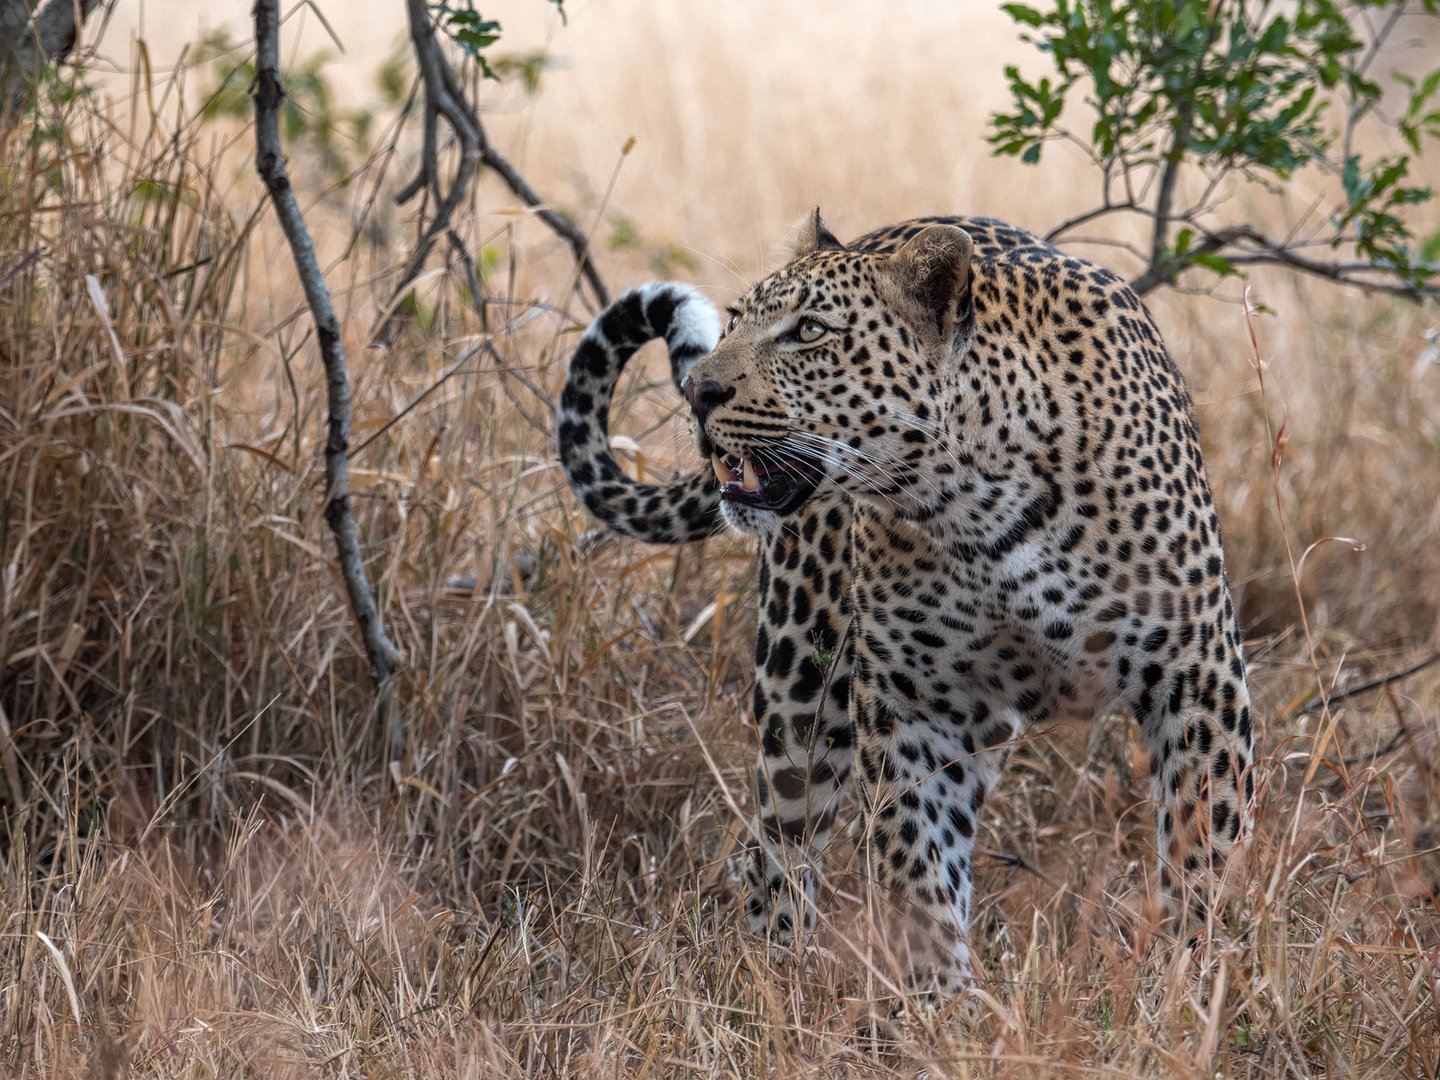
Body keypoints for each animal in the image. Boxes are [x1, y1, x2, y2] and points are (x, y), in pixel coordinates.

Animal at [555, 216, 1255, 1002]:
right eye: (734, 321)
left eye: (809, 332)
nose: (697, 390)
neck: (980, 501)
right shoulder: (915, 704)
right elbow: (917, 864)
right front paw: (942, 1005)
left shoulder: (1197, 675)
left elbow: (1204, 844)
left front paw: (1191, 979)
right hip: (803, 684)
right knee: (774, 851)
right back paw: (783, 982)